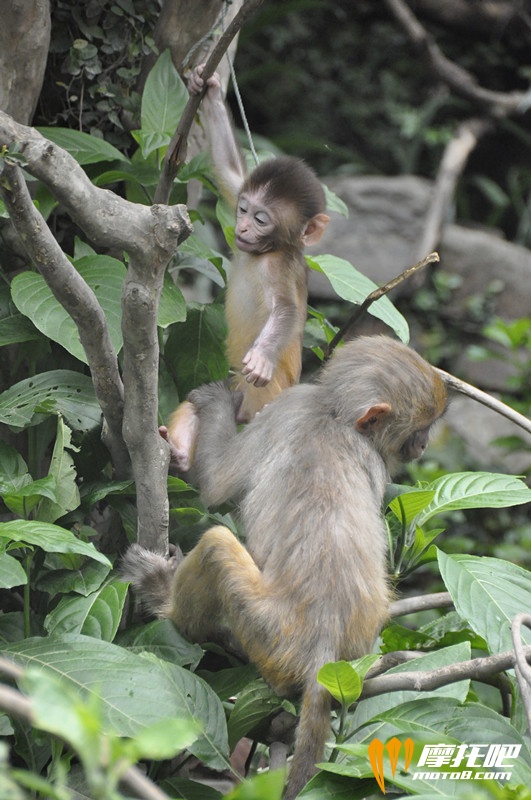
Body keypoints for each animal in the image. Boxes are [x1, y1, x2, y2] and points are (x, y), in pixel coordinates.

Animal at [123, 334, 448, 796]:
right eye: (419, 431)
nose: (422, 447)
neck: (336, 415)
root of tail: (322, 650)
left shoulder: (290, 405)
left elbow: (217, 485)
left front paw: (216, 402)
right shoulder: (371, 461)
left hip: (268, 632)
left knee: (217, 546)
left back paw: (163, 596)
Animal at [160, 67, 330, 476]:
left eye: (261, 219)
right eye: (243, 209)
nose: (243, 229)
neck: (264, 252)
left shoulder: (279, 266)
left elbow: (286, 309)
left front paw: (263, 356)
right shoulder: (241, 187)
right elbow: (227, 170)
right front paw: (207, 89)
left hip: (267, 397)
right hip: (234, 391)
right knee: (199, 402)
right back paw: (179, 454)